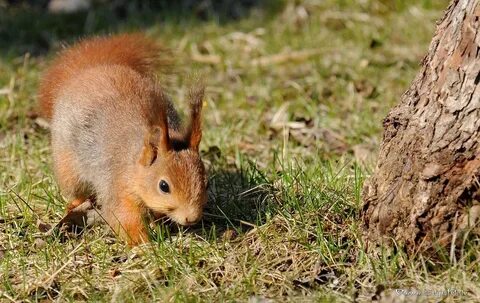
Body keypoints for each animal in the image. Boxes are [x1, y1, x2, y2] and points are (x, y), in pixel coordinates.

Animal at [38, 33, 207, 247]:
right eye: (164, 186)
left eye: (206, 182)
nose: (191, 218)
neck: (135, 162)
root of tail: (91, 70)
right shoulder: (118, 185)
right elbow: (123, 216)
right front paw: (145, 244)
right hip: (67, 164)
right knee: (76, 188)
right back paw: (76, 203)